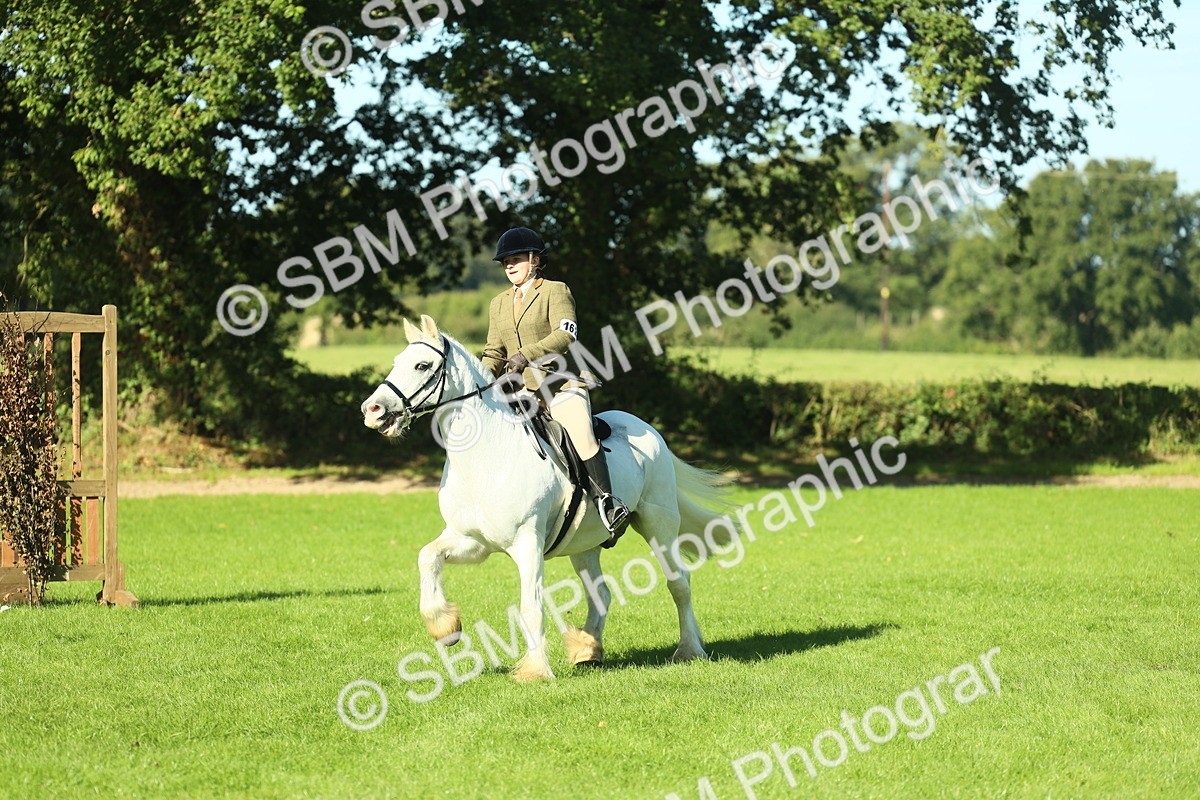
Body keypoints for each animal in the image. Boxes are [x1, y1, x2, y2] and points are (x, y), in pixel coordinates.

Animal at [360, 314, 738, 681]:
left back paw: (689, 650)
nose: (372, 410)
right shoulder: (472, 541)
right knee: (600, 593)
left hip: (658, 522)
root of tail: (645, 427)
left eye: (422, 365)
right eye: (397, 363)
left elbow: (531, 606)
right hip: (585, 542)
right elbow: (428, 557)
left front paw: (535, 671)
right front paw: (444, 626)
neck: (485, 456)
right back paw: (587, 650)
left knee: (679, 583)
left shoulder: (527, 541)